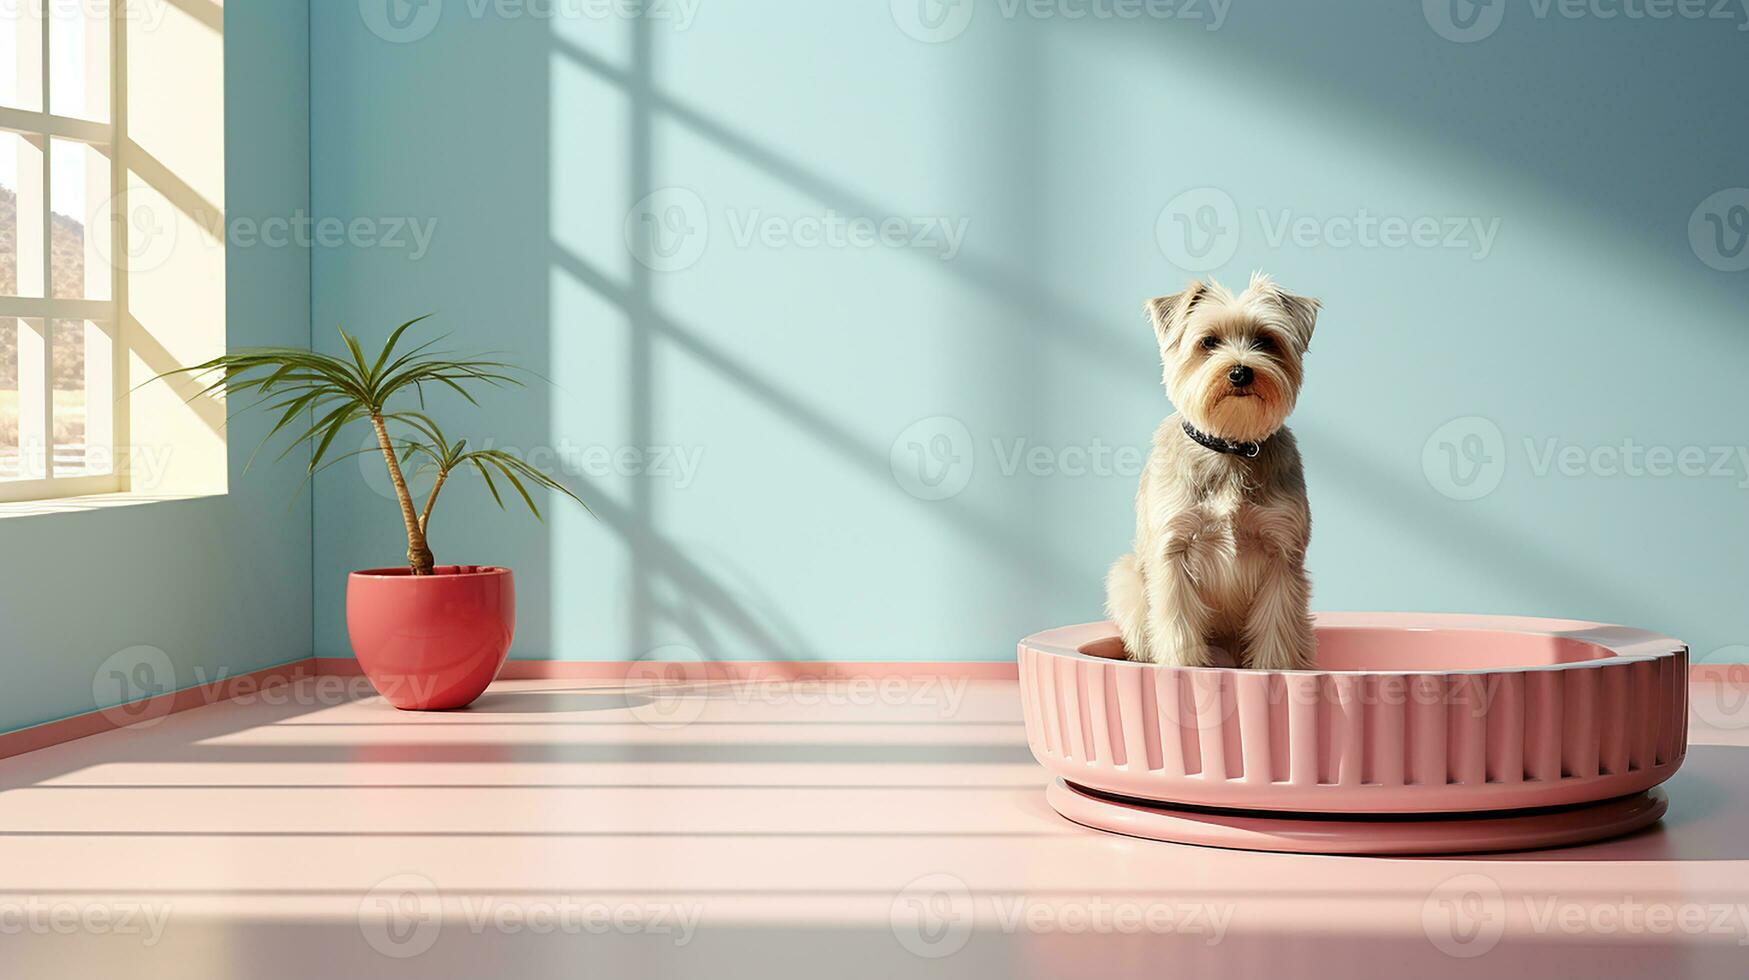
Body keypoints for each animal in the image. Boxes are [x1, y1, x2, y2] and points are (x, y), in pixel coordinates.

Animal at [1112, 271, 1315, 668]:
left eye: (1265, 340)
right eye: (1208, 342)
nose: (1240, 372)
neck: (1231, 445)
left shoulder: (1282, 556)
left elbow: (1276, 635)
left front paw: (1273, 674)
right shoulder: (1173, 553)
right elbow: (1177, 632)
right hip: (1125, 580)